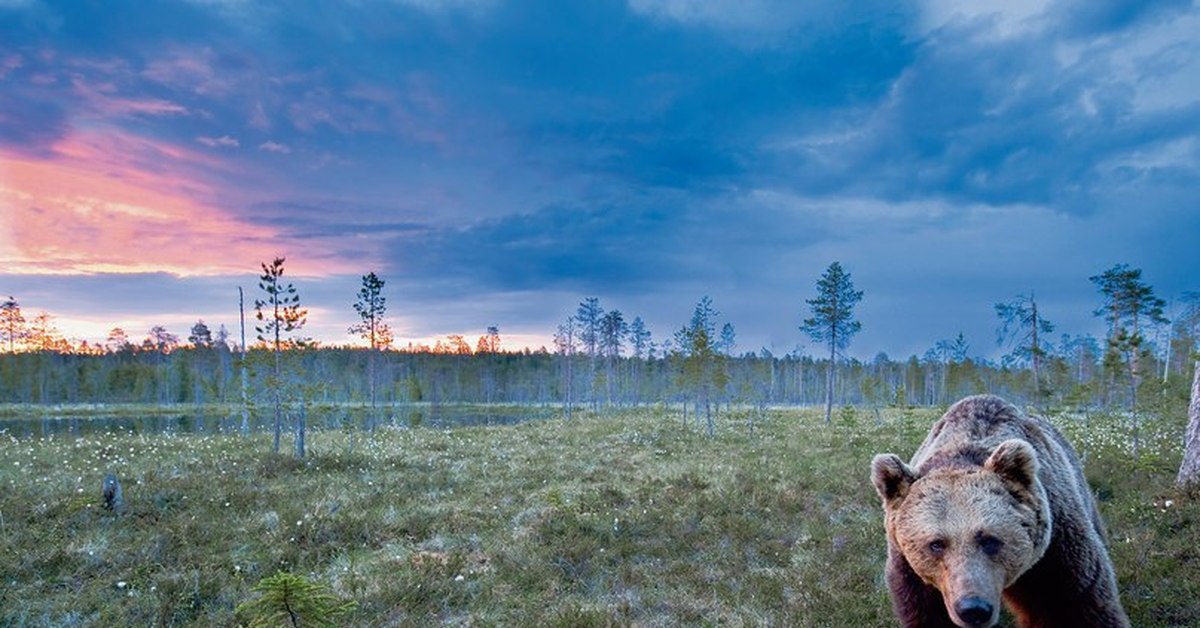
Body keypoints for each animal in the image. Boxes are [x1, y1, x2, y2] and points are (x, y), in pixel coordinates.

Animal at [868, 398, 1128, 628]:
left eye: (990, 540)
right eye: (936, 544)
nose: (973, 609)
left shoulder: (1055, 554)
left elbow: (1075, 608)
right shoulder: (912, 573)